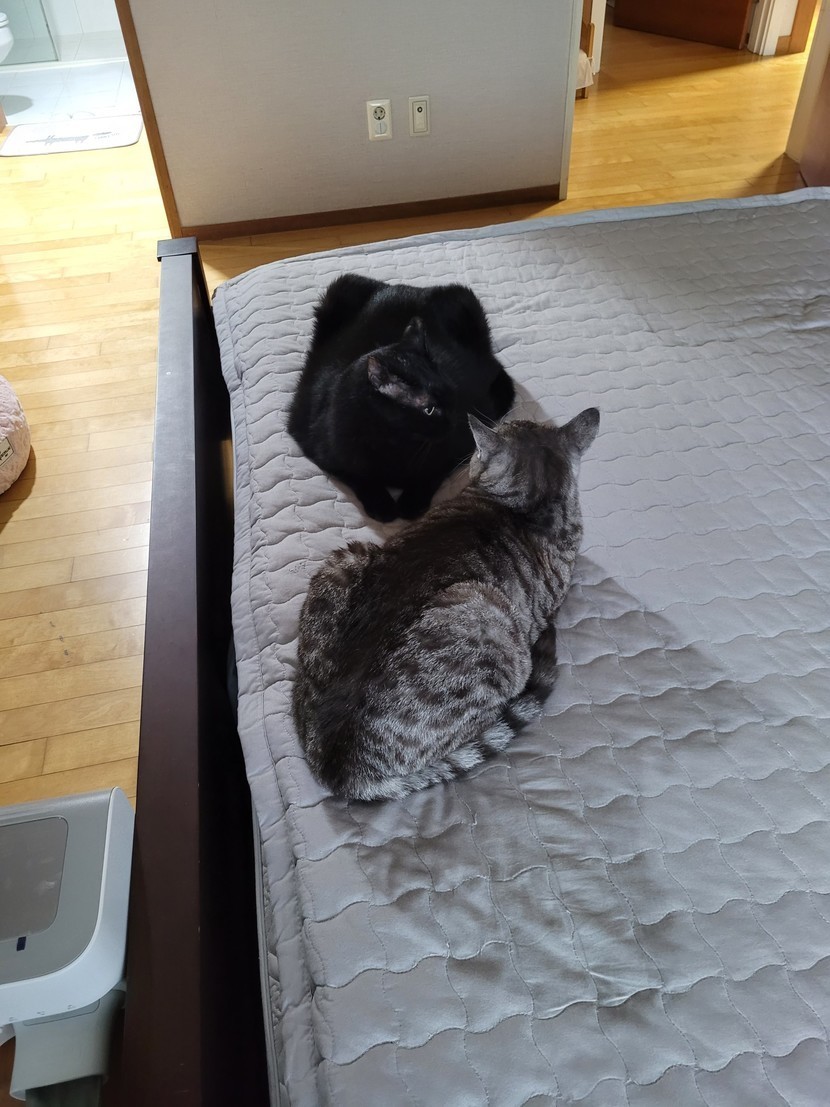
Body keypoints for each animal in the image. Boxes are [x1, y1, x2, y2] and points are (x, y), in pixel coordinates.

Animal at [287, 273, 516, 522]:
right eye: (429, 410)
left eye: (451, 394)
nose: (455, 421)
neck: (396, 443)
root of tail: (410, 288)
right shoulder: (319, 448)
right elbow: (358, 476)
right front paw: (382, 505)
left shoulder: (460, 448)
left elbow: (433, 473)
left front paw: (411, 502)